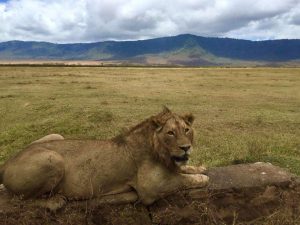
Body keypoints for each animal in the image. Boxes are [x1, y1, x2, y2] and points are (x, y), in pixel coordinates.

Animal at [0, 107, 209, 207]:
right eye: (170, 133)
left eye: (186, 130)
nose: (186, 148)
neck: (160, 152)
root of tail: (6, 163)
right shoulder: (150, 188)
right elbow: (185, 180)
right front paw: (202, 176)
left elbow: (185, 168)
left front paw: (200, 167)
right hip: (53, 159)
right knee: (20, 199)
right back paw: (56, 201)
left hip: (56, 135)